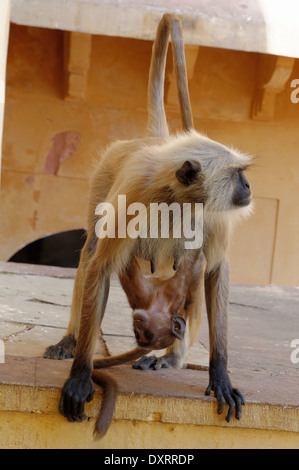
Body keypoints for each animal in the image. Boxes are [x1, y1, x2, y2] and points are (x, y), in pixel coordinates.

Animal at [44, 12, 252, 426]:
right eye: (238, 175)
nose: (249, 186)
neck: (179, 196)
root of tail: (155, 141)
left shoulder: (215, 214)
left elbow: (216, 269)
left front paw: (220, 374)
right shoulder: (134, 196)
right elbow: (100, 266)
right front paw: (80, 375)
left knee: (197, 263)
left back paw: (171, 357)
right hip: (105, 179)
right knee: (92, 249)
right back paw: (74, 340)